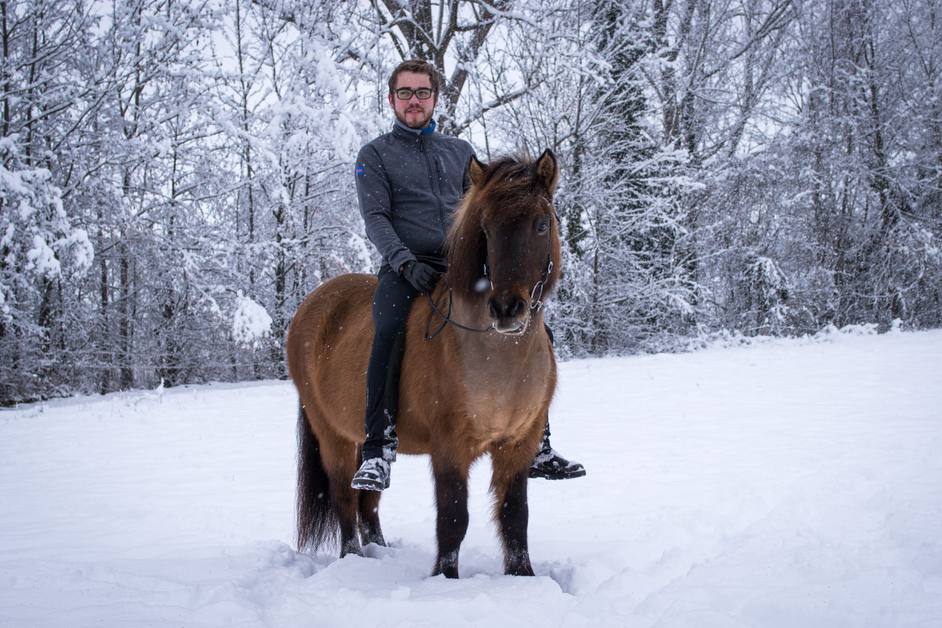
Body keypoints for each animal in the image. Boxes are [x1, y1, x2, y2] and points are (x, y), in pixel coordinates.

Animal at [285, 149, 563, 579]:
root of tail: (312, 304)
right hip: (333, 435)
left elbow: (515, 516)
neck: (495, 356)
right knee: (344, 497)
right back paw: (353, 558)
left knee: (368, 500)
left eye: (541, 223)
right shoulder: (450, 446)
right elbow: (453, 518)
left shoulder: (518, 444)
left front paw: (524, 579)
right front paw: (445, 579)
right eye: (485, 228)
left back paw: (381, 552)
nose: (507, 310)